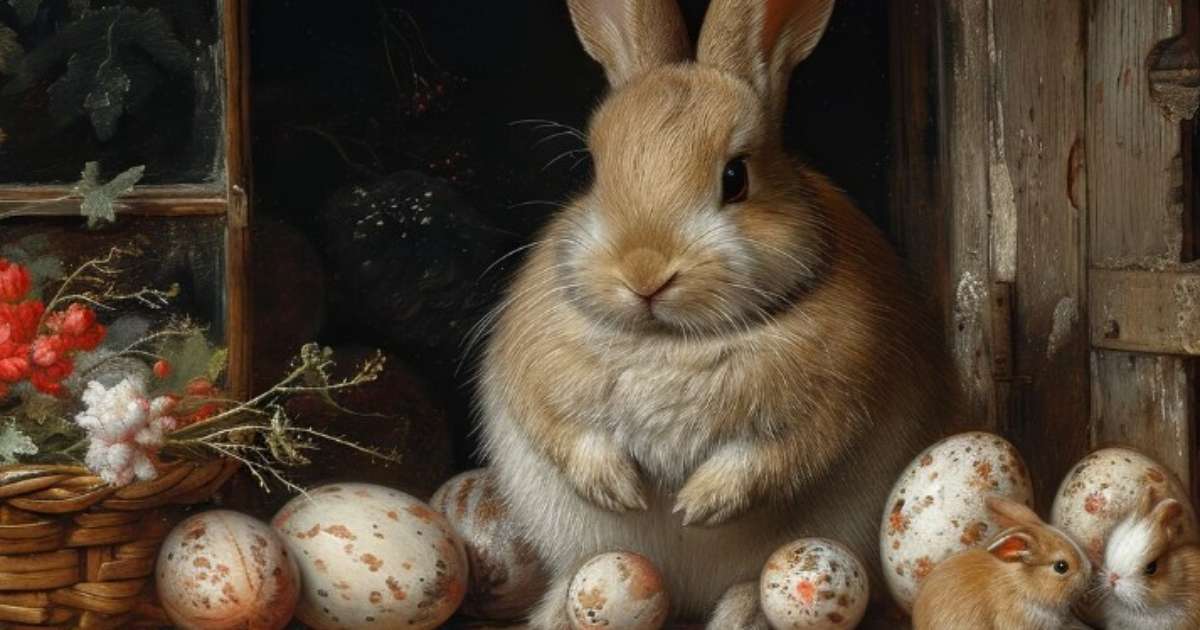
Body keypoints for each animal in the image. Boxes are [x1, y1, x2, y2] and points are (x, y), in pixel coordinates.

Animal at [476, 0, 956, 627]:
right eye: (597, 172)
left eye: (736, 177)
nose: (644, 271)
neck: (669, 340)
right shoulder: (536, 379)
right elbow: (565, 434)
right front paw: (620, 489)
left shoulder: (836, 400)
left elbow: (776, 457)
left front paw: (698, 505)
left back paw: (743, 610)